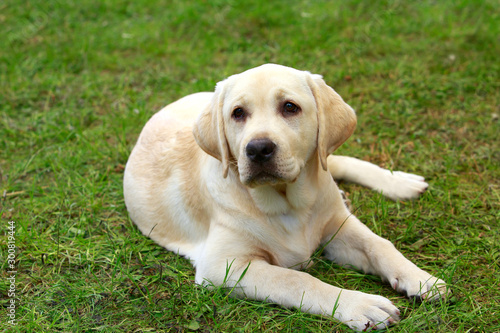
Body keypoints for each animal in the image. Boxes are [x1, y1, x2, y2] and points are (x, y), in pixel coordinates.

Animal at [124, 64, 450, 330]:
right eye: (237, 113)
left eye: (290, 107)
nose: (258, 149)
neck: (289, 204)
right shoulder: (222, 267)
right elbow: (294, 279)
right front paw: (360, 304)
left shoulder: (337, 226)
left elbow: (378, 244)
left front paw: (420, 277)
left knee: (335, 161)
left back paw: (398, 182)